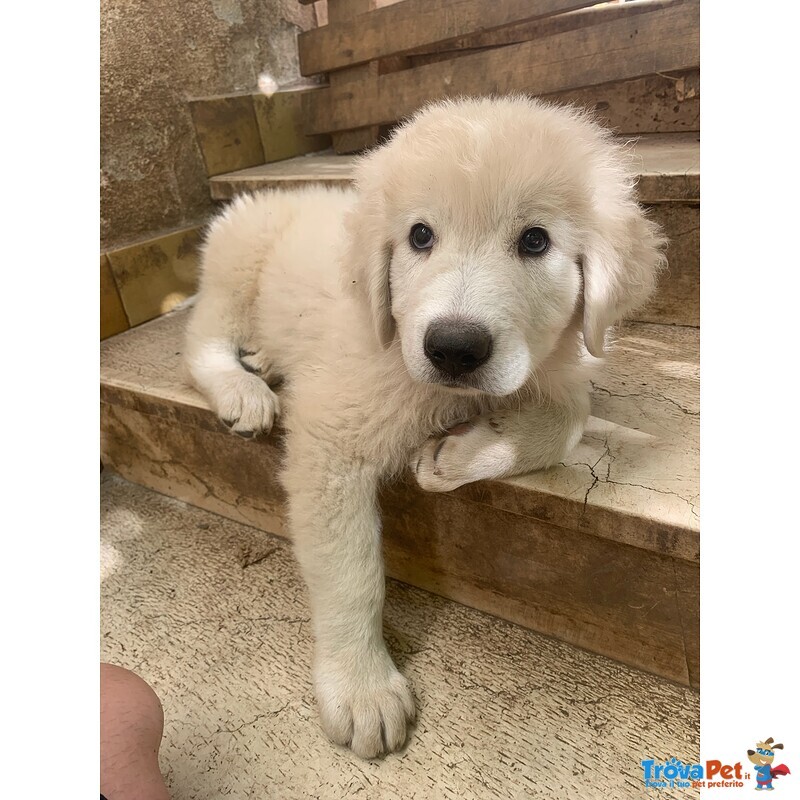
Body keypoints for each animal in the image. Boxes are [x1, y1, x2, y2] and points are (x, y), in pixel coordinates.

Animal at [184, 97, 664, 760]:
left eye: (535, 240)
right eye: (420, 235)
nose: (454, 348)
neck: (443, 393)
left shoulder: (561, 369)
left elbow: (570, 417)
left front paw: (460, 453)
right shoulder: (330, 435)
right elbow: (351, 571)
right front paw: (360, 688)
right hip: (236, 262)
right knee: (201, 338)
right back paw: (242, 389)